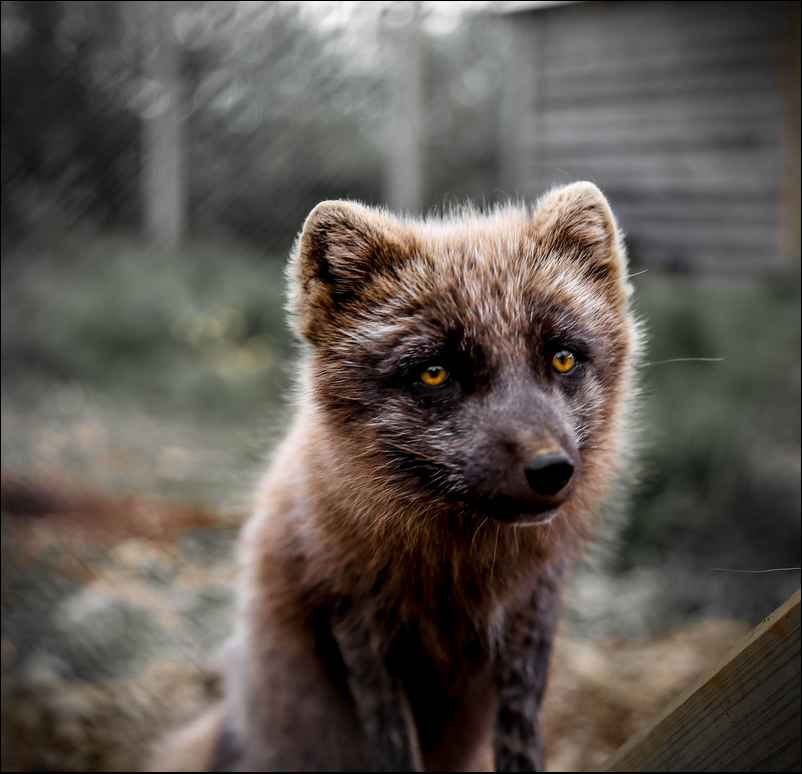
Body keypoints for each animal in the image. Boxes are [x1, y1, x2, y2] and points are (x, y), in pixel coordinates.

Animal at [150, 181, 642, 772]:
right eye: (435, 372)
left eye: (563, 359)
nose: (551, 471)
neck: (462, 573)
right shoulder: (358, 623)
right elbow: (392, 746)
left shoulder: (533, 612)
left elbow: (521, 736)